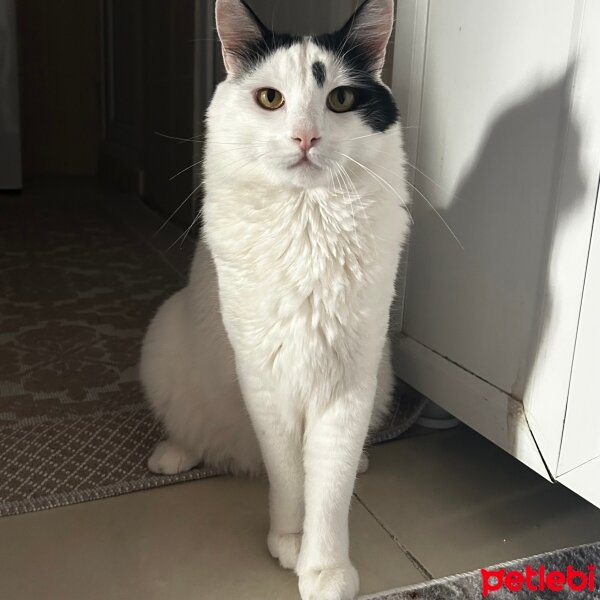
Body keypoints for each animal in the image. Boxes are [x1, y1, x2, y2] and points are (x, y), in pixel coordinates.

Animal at [142, 1, 412, 596]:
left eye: (340, 99)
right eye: (271, 98)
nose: (305, 137)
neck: (308, 221)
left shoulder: (348, 384)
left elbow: (329, 490)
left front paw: (325, 567)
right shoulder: (267, 380)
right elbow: (291, 479)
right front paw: (289, 541)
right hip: (164, 339)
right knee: (195, 430)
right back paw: (174, 454)